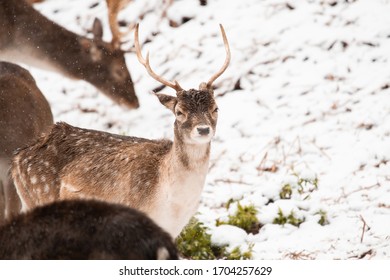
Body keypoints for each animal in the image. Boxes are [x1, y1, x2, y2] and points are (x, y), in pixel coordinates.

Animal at [11, 24, 232, 237]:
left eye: (216, 108)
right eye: (179, 112)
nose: (203, 129)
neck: (171, 206)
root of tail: (17, 159)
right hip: (40, 194)